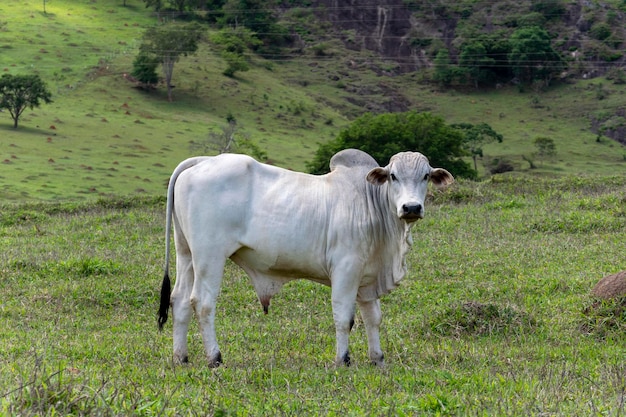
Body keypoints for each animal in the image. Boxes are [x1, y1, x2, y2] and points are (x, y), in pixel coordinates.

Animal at [155, 148, 448, 366]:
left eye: (425, 176)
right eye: (393, 176)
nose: (411, 207)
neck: (370, 202)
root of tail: (203, 161)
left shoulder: (368, 277)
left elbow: (373, 318)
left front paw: (377, 359)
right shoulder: (346, 269)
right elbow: (344, 317)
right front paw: (343, 359)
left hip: (186, 253)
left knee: (179, 300)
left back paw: (181, 357)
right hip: (210, 256)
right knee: (202, 303)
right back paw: (214, 357)